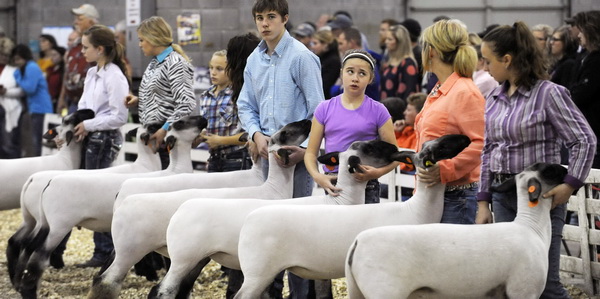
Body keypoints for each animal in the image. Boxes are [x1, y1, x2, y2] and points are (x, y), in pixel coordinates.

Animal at [5, 115, 207, 298]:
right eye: (181, 123)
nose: (204, 120)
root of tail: (45, 182)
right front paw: (150, 273)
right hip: (58, 225)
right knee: (37, 253)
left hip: (40, 221)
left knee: (25, 243)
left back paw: (17, 282)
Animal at [89, 119, 314, 299]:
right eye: (284, 133)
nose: (307, 121)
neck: (272, 188)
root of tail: (122, 197)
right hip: (133, 249)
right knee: (110, 280)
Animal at [149, 137, 464, 299]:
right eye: (370, 148)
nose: (397, 148)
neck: (340, 200)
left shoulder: (321, 269)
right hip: (211, 263)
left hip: (198, 259)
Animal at [344, 164, 568, 299]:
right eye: (549, 170)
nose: (567, 171)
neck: (531, 226)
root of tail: (357, 243)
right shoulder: (524, 290)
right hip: (384, 290)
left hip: (357, 291)